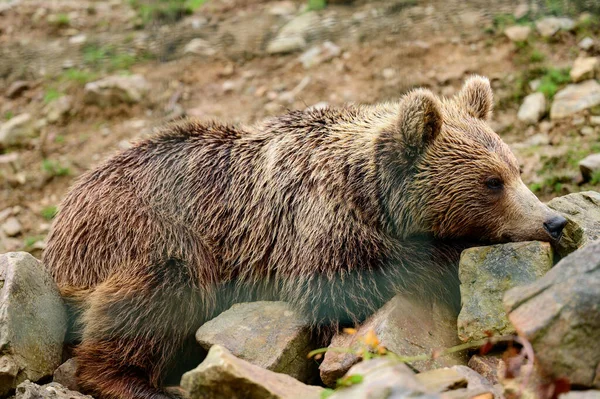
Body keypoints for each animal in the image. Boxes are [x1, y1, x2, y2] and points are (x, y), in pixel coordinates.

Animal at [43, 77, 568, 399]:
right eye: (492, 182)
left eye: (517, 169)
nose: (553, 221)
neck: (370, 196)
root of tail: (62, 221)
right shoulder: (315, 229)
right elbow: (342, 292)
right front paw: (448, 261)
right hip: (140, 235)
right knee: (156, 294)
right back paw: (140, 383)